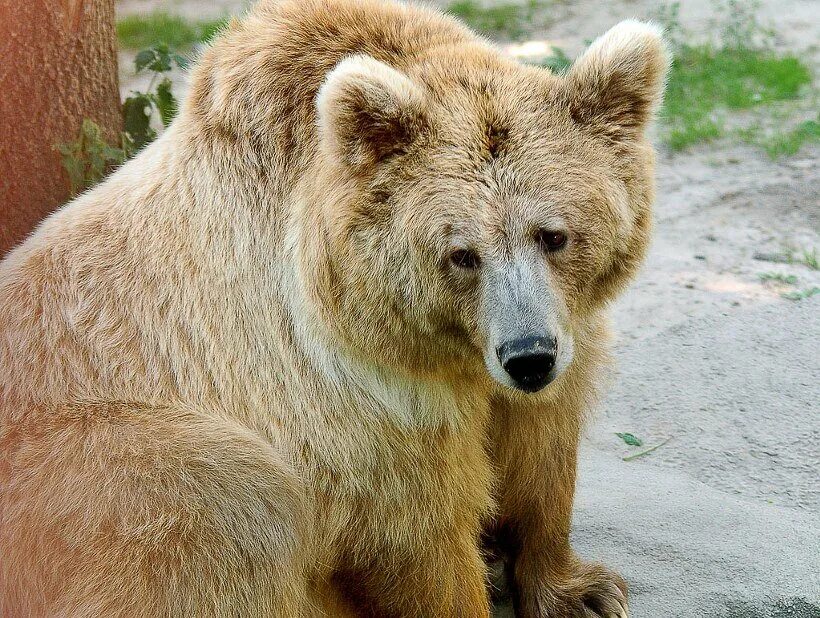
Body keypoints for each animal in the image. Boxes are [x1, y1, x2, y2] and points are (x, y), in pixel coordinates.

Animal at [0, 2, 668, 612]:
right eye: (462, 254)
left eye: (553, 234)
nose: (528, 356)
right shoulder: (350, 400)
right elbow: (421, 533)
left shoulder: (559, 327)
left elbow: (542, 445)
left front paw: (580, 588)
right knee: (235, 505)